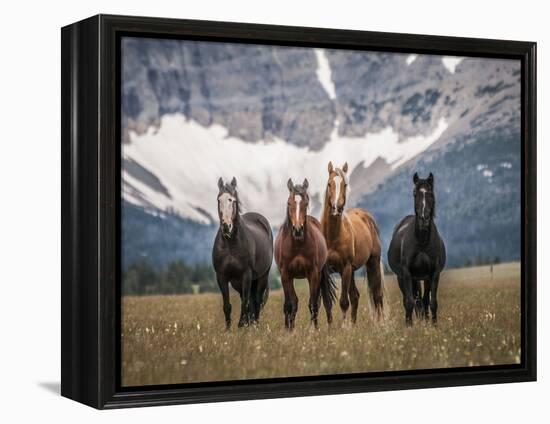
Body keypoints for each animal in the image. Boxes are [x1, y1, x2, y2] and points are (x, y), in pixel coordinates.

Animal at [211, 176, 274, 328]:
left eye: (232, 200)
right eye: (219, 200)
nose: (226, 226)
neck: (231, 244)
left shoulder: (246, 275)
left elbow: (245, 304)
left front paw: (241, 326)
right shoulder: (222, 276)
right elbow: (227, 305)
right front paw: (229, 329)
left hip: (261, 277)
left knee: (256, 301)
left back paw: (254, 324)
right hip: (238, 282)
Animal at [274, 177, 338, 330]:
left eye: (306, 203)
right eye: (289, 203)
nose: (298, 230)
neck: (297, 245)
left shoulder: (313, 273)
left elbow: (313, 303)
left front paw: (313, 329)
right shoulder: (285, 275)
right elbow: (290, 304)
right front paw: (289, 330)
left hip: (321, 274)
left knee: (326, 301)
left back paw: (330, 326)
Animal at [322, 162, 386, 324]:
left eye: (345, 184)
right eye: (329, 183)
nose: (336, 208)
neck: (332, 236)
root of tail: (366, 217)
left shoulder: (345, 268)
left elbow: (344, 301)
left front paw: (345, 327)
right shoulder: (323, 271)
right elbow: (326, 302)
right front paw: (330, 327)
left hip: (372, 262)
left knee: (377, 295)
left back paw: (380, 324)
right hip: (352, 270)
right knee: (355, 296)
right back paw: (354, 324)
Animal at [388, 171, 448, 326]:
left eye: (431, 193)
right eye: (415, 193)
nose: (423, 218)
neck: (422, 241)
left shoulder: (434, 274)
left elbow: (432, 302)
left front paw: (433, 325)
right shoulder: (407, 274)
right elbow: (409, 302)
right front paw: (409, 326)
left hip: (423, 278)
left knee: (423, 300)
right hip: (403, 278)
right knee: (409, 300)